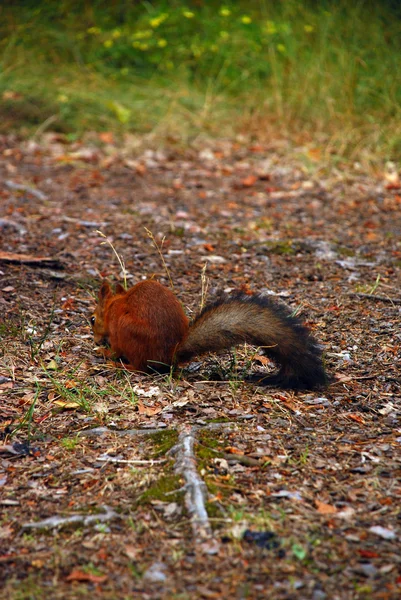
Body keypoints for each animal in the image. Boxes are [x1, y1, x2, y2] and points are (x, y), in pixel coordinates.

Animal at [92, 280, 326, 392]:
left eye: (92, 319)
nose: (95, 339)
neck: (115, 304)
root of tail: (169, 355)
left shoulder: (116, 330)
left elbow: (115, 349)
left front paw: (104, 352)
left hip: (128, 330)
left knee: (140, 367)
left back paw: (120, 365)